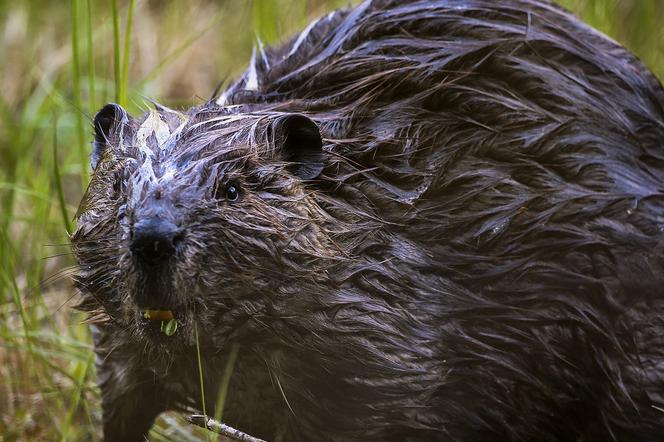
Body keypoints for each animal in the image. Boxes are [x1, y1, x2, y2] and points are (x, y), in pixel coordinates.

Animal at [70, 0, 664, 440]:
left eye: (232, 190)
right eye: (118, 186)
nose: (153, 237)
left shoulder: (383, 355)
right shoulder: (118, 351)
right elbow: (121, 402)